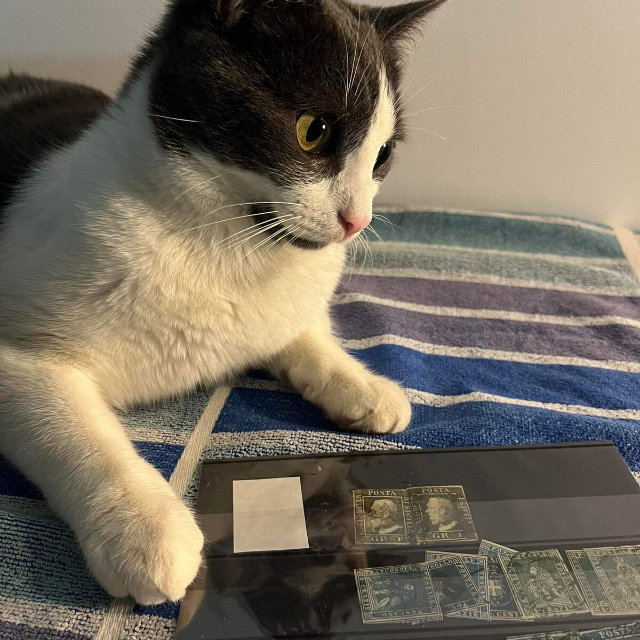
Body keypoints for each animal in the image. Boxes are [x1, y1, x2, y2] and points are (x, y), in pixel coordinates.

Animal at [0, 0, 446, 605]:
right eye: (312, 131)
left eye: (382, 154)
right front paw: (144, 527)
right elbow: (76, 431)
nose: (357, 221)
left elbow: (305, 336)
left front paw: (361, 385)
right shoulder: (18, 356)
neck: (225, 247)